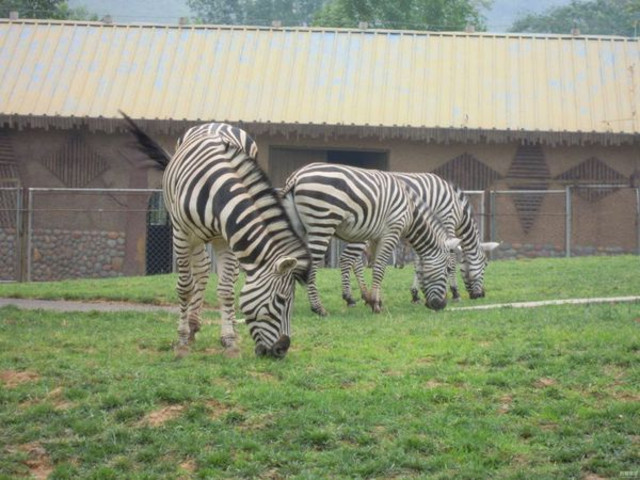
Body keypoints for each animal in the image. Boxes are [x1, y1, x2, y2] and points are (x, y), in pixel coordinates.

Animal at [121, 112, 312, 358]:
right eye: (281, 299)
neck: (216, 192)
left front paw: (229, 340)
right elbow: (185, 287)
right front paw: (181, 342)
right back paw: (191, 328)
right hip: (191, 236)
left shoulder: (227, 238)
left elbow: (227, 289)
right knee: (200, 269)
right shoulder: (181, 233)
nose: (282, 349)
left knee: (215, 273)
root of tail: (216, 123)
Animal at [280, 163, 460, 316]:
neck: (410, 213)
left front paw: (375, 300)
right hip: (322, 225)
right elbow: (379, 268)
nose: (441, 305)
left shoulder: (375, 237)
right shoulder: (392, 232)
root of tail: (296, 176)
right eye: (446, 270)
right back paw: (318, 308)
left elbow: (376, 267)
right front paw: (375, 304)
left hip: (299, 226)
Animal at [340, 174, 500, 306]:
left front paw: (415, 295)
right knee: (348, 259)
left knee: (355, 262)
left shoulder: (423, 232)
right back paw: (350, 298)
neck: (458, 210)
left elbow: (419, 263)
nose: (481, 295)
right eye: (485, 264)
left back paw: (363, 295)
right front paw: (455, 292)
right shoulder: (447, 222)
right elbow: (451, 261)